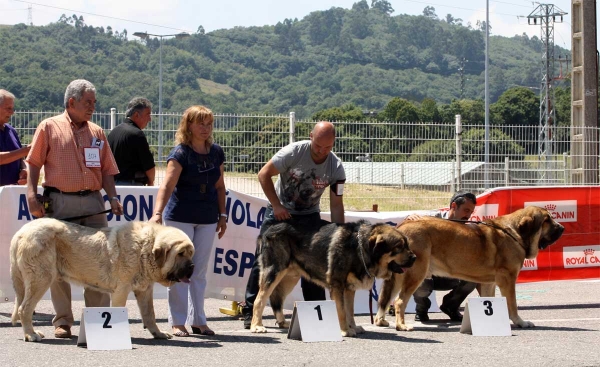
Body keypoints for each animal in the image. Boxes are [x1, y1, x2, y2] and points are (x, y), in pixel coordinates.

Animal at [9, 218, 195, 342]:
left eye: (190, 253)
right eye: (180, 254)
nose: (192, 267)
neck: (145, 249)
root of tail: (20, 233)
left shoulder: (144, 291)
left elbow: (149, 314)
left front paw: (158, 333)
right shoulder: (121, 290)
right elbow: (119, 312)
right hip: (41, 279)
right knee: (24, 308)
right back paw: (31, 334)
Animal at [251, 220, 414, 338]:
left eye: (407, 244)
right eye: (399, 247)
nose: (415, 257)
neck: (359, 248)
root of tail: (268, 230)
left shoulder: (349, 288)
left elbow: (350, 311)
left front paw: (353, 327)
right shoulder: (337, 285)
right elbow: (341, 310)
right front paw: (345, 331)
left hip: (290, 277)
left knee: (276, 298)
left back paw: (282, 322)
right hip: (274, 273)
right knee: (259, 300)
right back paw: (256, 326)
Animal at [376, 207, 564, 334]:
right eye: (547, 220)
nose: (562, 228)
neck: (515, 233)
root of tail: (401, 228)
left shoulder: (489, 283)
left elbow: (491, 300)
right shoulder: (508, 280)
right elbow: (512, 304)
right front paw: (520, 322)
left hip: (398, 277)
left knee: (385, 299)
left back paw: (381, 321)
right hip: (417, 274)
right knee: (399, 301)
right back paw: (402, 325)